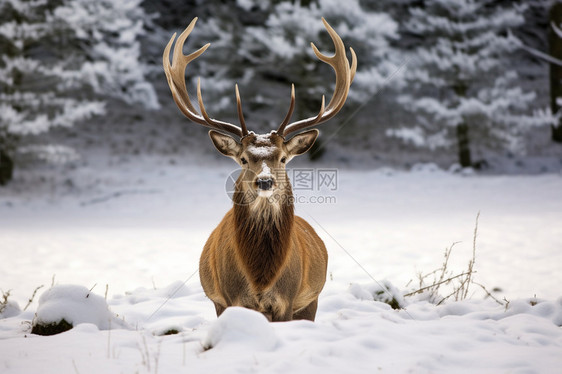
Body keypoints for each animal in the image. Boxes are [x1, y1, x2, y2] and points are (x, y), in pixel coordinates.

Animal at [162, 17, 354, 322]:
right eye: (243, 159)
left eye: (284, 158)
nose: (264, 181)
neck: (261, 278)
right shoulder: (230, 299)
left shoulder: (287, 300)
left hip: (311, 301)